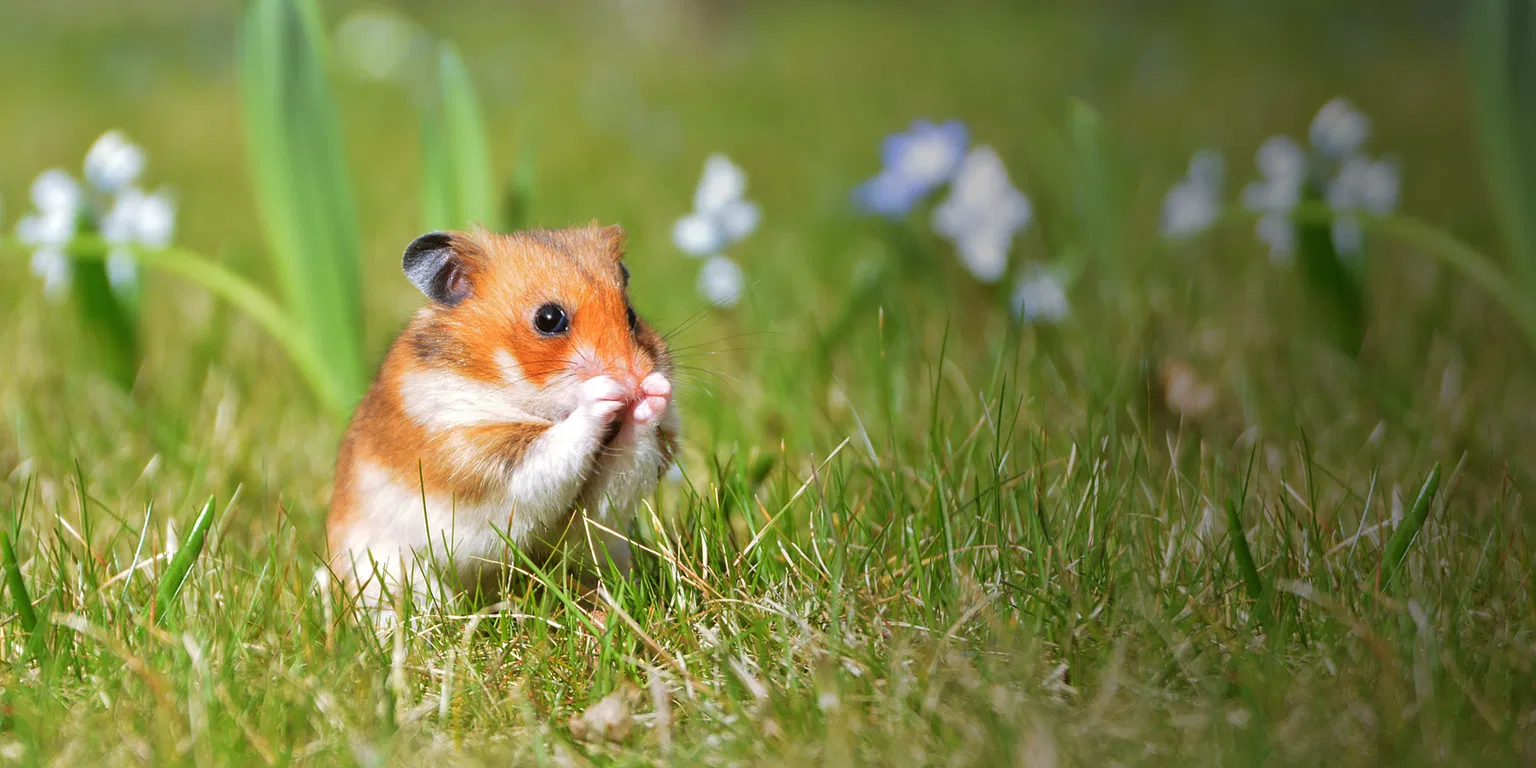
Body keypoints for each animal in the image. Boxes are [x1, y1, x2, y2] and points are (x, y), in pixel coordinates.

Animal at [327, 225, 680, 606]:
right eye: (549, 318)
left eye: (630, 315)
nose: (635, 378)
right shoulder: (479, 458)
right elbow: (557, 446)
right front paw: (604, 392)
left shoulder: (599, 503)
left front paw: (655, 391)